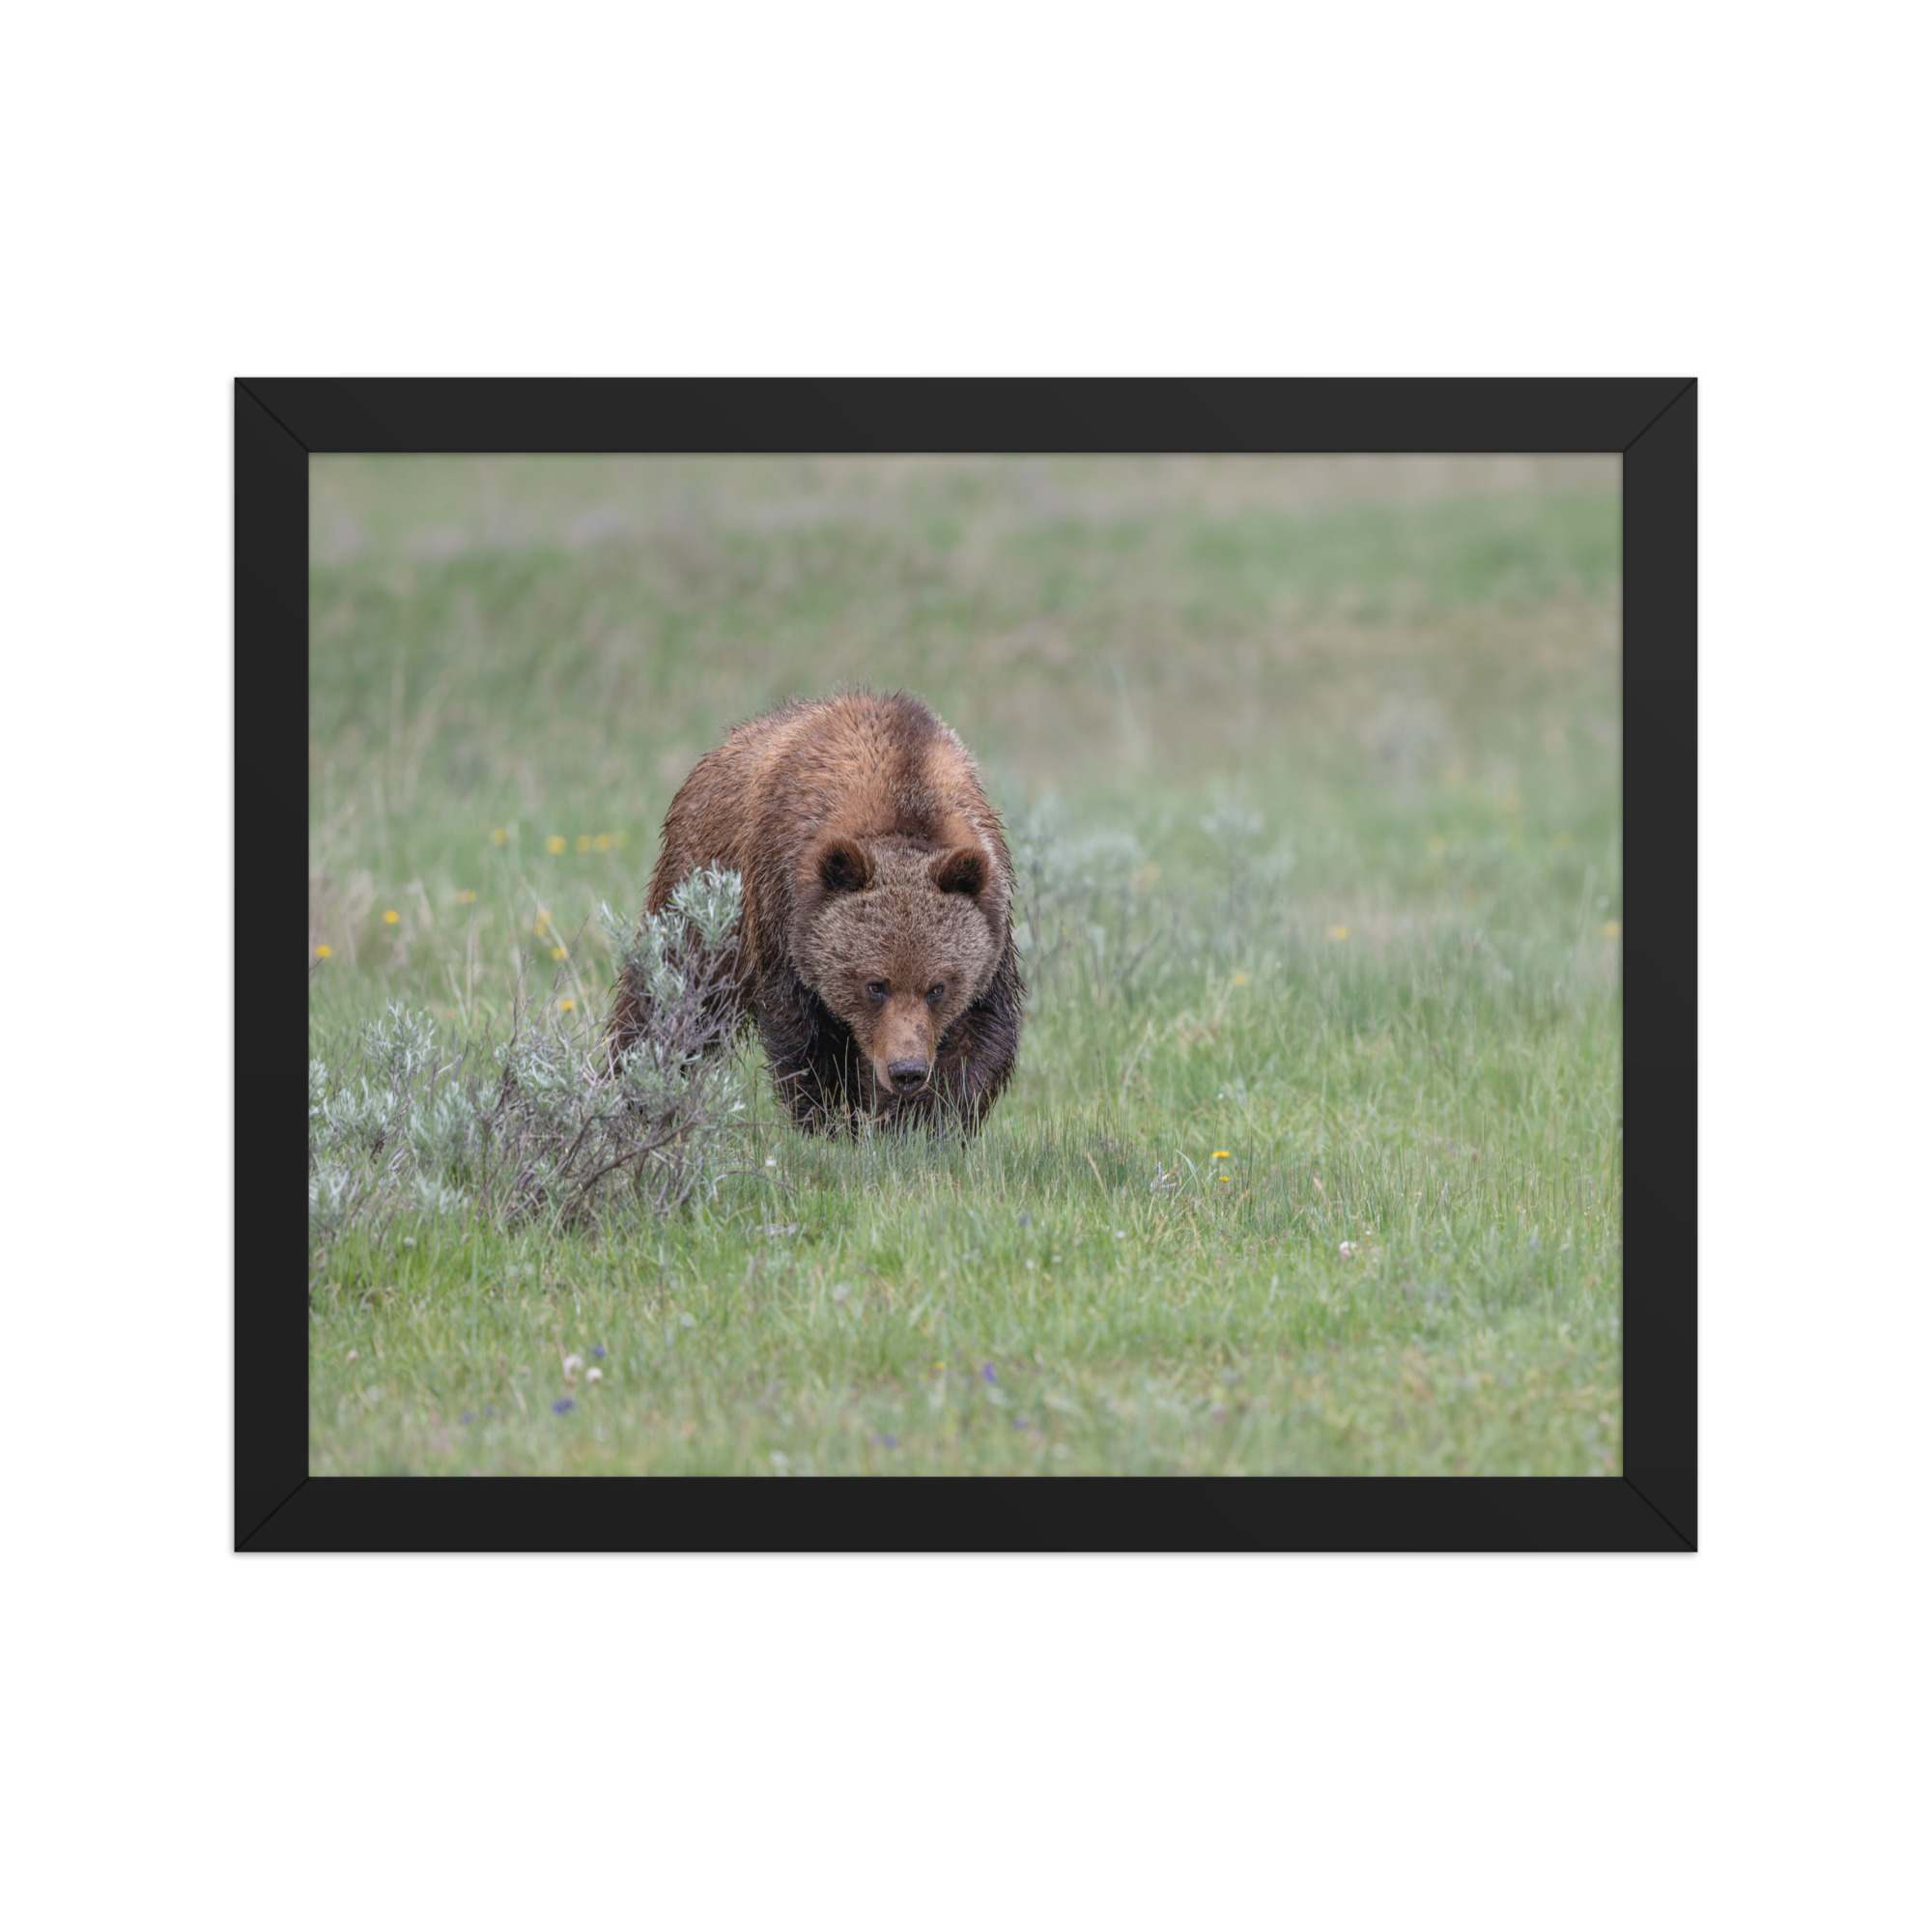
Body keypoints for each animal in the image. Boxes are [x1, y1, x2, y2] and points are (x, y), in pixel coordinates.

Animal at [608, 689, 1025, 1134]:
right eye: (875, 985)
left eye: (937, 988)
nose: (907, 1071)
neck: (904, 797)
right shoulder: (783, 913)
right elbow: (807, 1039)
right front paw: (833, 1120)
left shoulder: (991, 924)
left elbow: (978, 1036)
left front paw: (922, 1123)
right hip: (702, 892)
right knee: (670, 995)